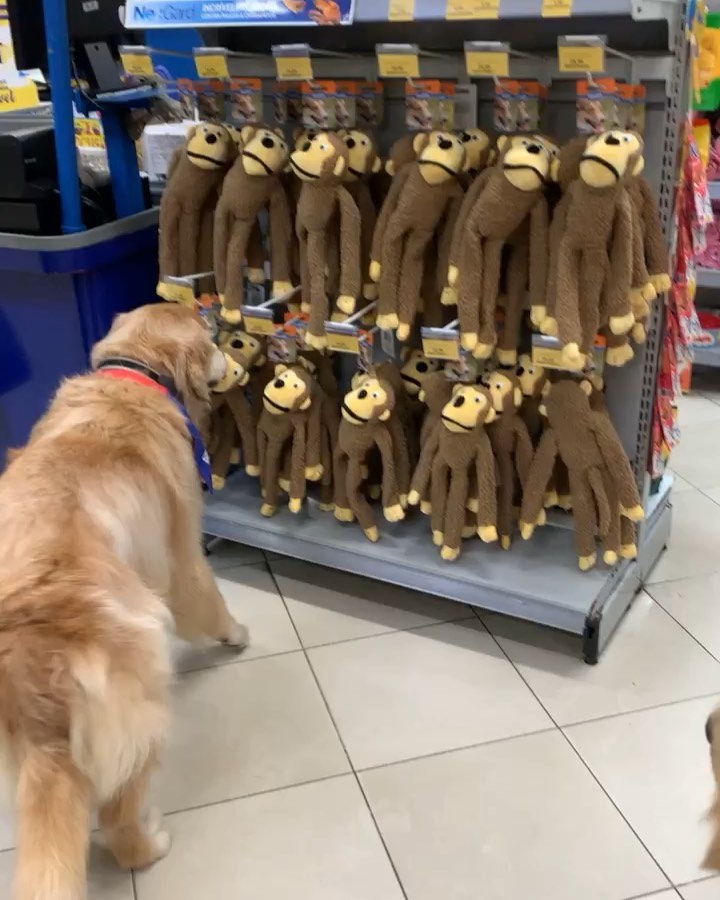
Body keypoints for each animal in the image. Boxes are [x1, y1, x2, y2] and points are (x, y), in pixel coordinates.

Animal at [0, 303, 249, 899]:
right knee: (118, 815)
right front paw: (236, 634)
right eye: (210, 341)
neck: (134, 376)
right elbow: (205, 597)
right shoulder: (181, 549)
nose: (226, 334)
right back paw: (148, 843)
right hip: (141, 699)